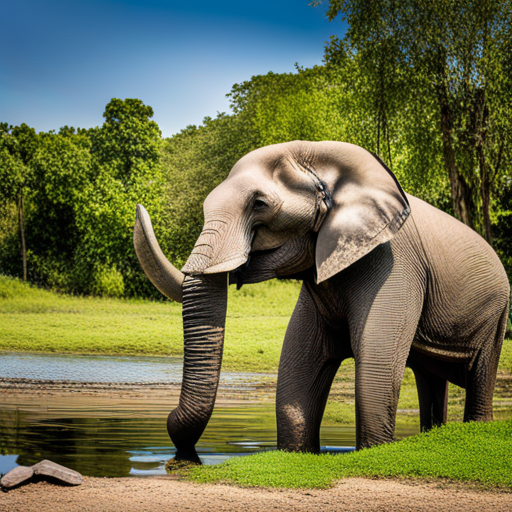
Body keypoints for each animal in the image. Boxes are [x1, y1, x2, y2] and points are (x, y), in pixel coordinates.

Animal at [134, 141, 510, 464]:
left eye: (259, 204)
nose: (184, 454)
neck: (324, 156)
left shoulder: (395, 265)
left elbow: (374, 369)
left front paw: (372, 452)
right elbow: (297, 378)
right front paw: (298, 454)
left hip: (499, 311)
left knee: (481, 369)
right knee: (430, 374)